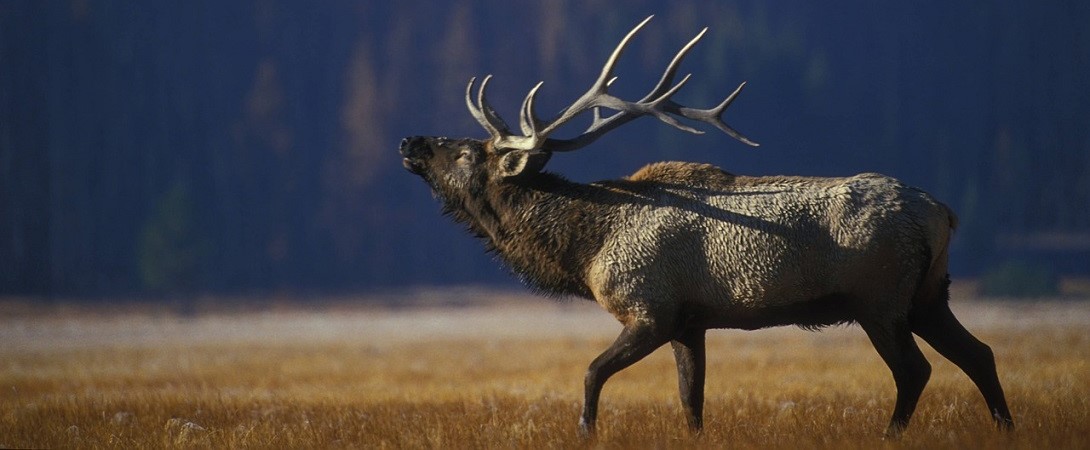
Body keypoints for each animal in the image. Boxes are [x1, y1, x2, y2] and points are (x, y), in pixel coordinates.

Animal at [398, 16, 1014, 437]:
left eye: (465, 152)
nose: (410, 141)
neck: (586, 248)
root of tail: (942, 213)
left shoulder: (650, 308)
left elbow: (592, 373)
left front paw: (586, 432)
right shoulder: (689, 323)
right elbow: (691, 401)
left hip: (879, 299)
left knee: (915, 370)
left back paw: (891, 435)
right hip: (929, 295)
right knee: (980, 353)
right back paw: (1005, 428)